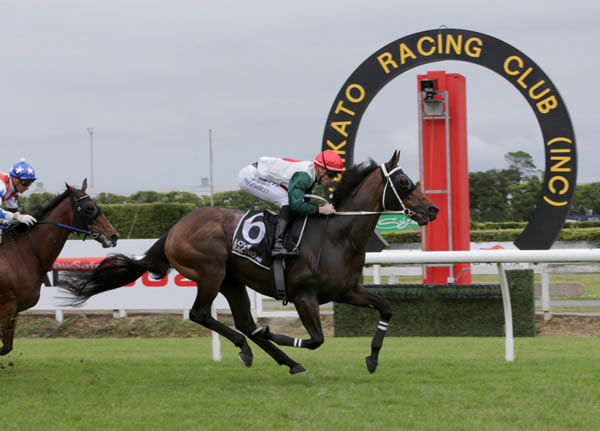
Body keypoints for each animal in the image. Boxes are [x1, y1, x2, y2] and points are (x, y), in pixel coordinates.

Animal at [0, 181, 118, 356]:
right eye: (89, 208)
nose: (113, 235)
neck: (19, 253)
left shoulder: (13, 311)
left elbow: (7, 347)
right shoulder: (7, 308)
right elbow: (5, 347)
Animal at [62, 153, 436, 374]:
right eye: (404, 182)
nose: (432, 209)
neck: (337, 234)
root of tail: (175, 228)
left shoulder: (347, 290)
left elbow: (386, 308)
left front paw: (372, 357)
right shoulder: (304, 296)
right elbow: (315, 339)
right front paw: (274, 332)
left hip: (232, 280)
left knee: (242, 320)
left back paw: (284, 360)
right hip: (210, 272)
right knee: (202, 315)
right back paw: (254, 347)